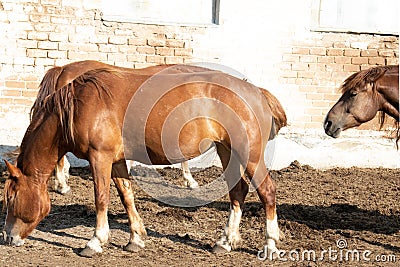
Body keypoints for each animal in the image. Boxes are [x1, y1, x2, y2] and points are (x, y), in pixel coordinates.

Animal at [3, 59, 284, 258]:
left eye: (12, 197)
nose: (8, 237)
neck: (79, 105)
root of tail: (256, 91)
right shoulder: (116, 161)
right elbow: (126, 196)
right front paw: (135, 238)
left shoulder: (100, 158)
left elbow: (101, 198)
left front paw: (95, 241)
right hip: (228, 151)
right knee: (238, 192)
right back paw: (225, 242)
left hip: (250, 154)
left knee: (267, 191)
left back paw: (270, 244)